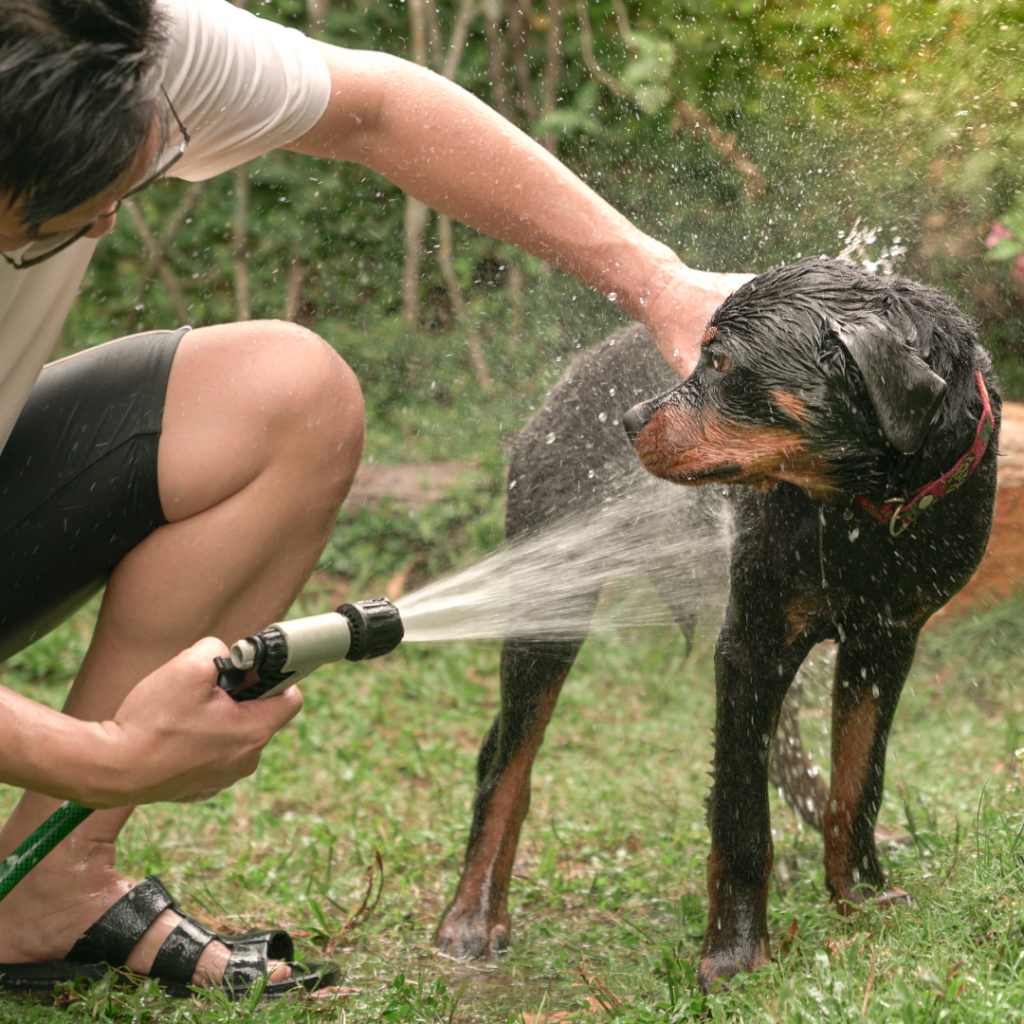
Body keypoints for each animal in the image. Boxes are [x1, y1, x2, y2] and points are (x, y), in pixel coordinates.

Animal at [434, 256, 999, 991]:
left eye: (724, 362)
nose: (628, 418)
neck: (863, 509)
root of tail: (566, 384)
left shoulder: (885, 643)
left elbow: (859, 783)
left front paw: (862, 895)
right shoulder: (750, 647)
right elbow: (740, 818)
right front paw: (734, 955)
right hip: (551, 598)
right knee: (508, 764)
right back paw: (473, 915)